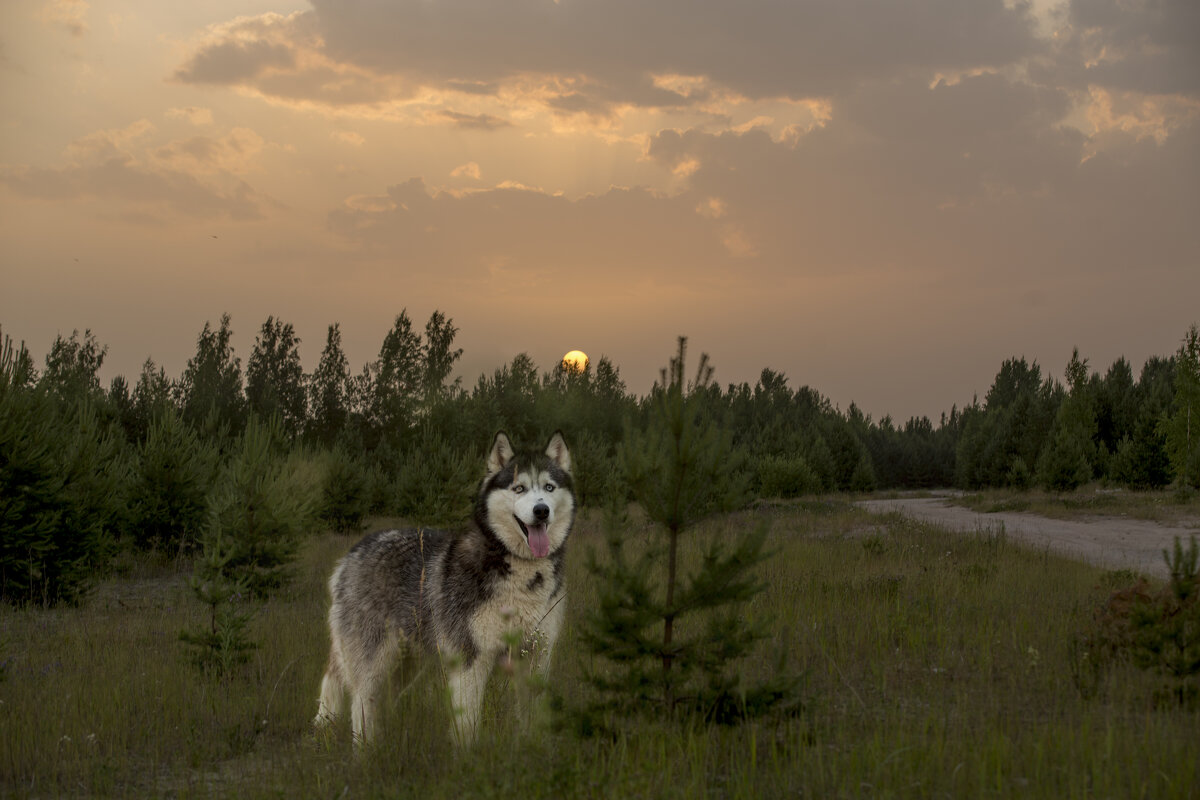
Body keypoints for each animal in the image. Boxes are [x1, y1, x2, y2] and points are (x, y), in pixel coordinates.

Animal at [309, 431, 571, 743]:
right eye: (519, 488)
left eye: (549, 487)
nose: (541, 511)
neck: (522, 572)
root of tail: (351, 554)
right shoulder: (470, 661)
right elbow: (467, 728)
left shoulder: (536, 659)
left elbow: (532, 722)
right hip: (372, 664)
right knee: (361, 706)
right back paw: (367, 751)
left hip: (405, 665)